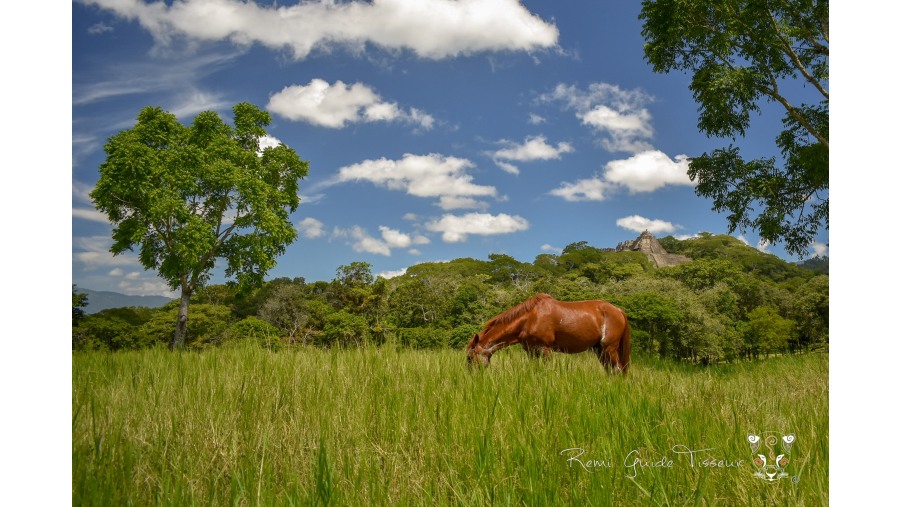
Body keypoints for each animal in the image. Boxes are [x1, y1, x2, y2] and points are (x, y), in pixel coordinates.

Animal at [468, 296, 628, 376]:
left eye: (469, 357)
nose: (472, 376)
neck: (529, 318)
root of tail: (618, 310)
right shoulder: (531, 351)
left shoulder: (545, 350)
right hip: (600, 350)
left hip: (609, 348)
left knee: (618, 370)